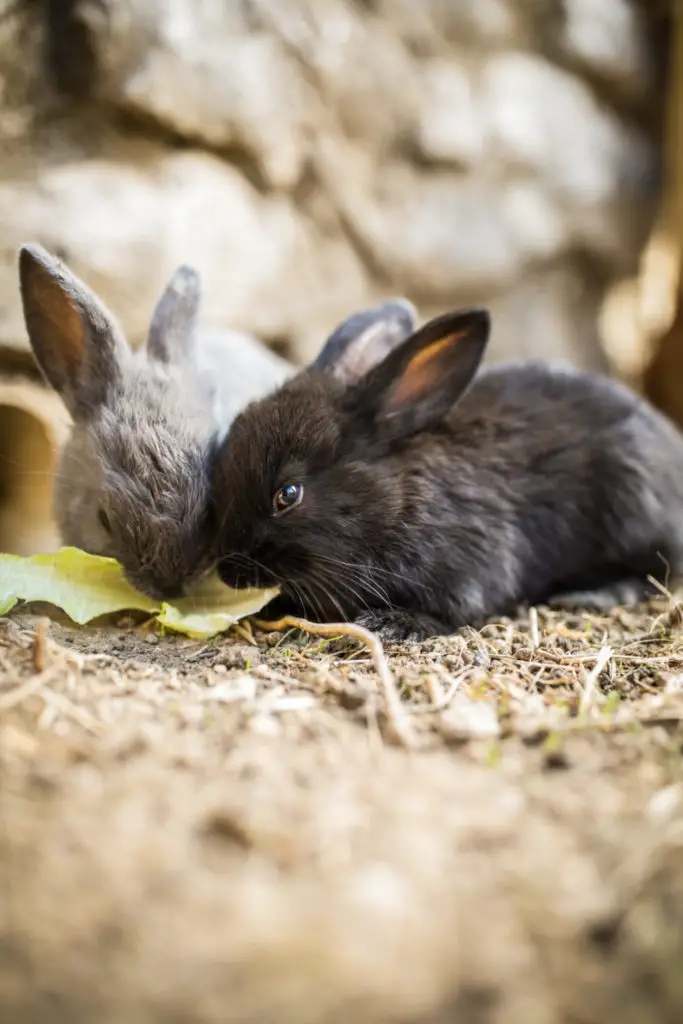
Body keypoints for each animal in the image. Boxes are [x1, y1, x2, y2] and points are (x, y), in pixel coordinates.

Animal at [209, 301, 683, 638]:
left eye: (288, 495)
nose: (228, 572)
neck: (395, 502)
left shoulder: (474, 562)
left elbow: (457, 609)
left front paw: (393, 623)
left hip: (634, 508)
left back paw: (594, 594)